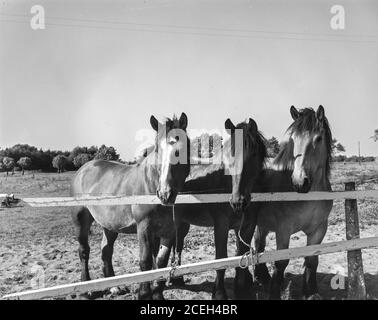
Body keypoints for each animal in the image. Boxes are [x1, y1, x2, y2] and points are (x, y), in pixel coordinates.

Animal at [70, 113, 192, 300]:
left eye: (181, 150)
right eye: (158, 150)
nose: (165, 194)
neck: (150, 186)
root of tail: (83, 168)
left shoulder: (169, 231)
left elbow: (161, 262)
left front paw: (158, 294)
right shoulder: (144, 227)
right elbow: (145, 262)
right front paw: (144, 293)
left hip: (110, 225)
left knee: (106, 251)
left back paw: (114, 287)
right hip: (81, 220)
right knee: (84, 251)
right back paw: (86, 289)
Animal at [173, 118, 268, 300]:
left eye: (253, 154)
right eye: (230, 154)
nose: (238, 201)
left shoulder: (247, 225)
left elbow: (240, 253)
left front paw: (242, 289)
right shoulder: (221, 224)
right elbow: (221, 257)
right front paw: (219, 293)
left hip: (183, 222)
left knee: (178, 244)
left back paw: (178, 278)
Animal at [238, 105, 332, 300]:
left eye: (318, 138)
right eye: (293, 139)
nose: (299, 182)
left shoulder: (320, 229)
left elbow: (312, 259)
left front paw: (311, 291)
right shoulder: (284, 229)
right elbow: (281, 262)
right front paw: (274, 292)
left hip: (263, 224)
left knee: (259, 246)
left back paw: (263, 277)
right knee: (257, 247)